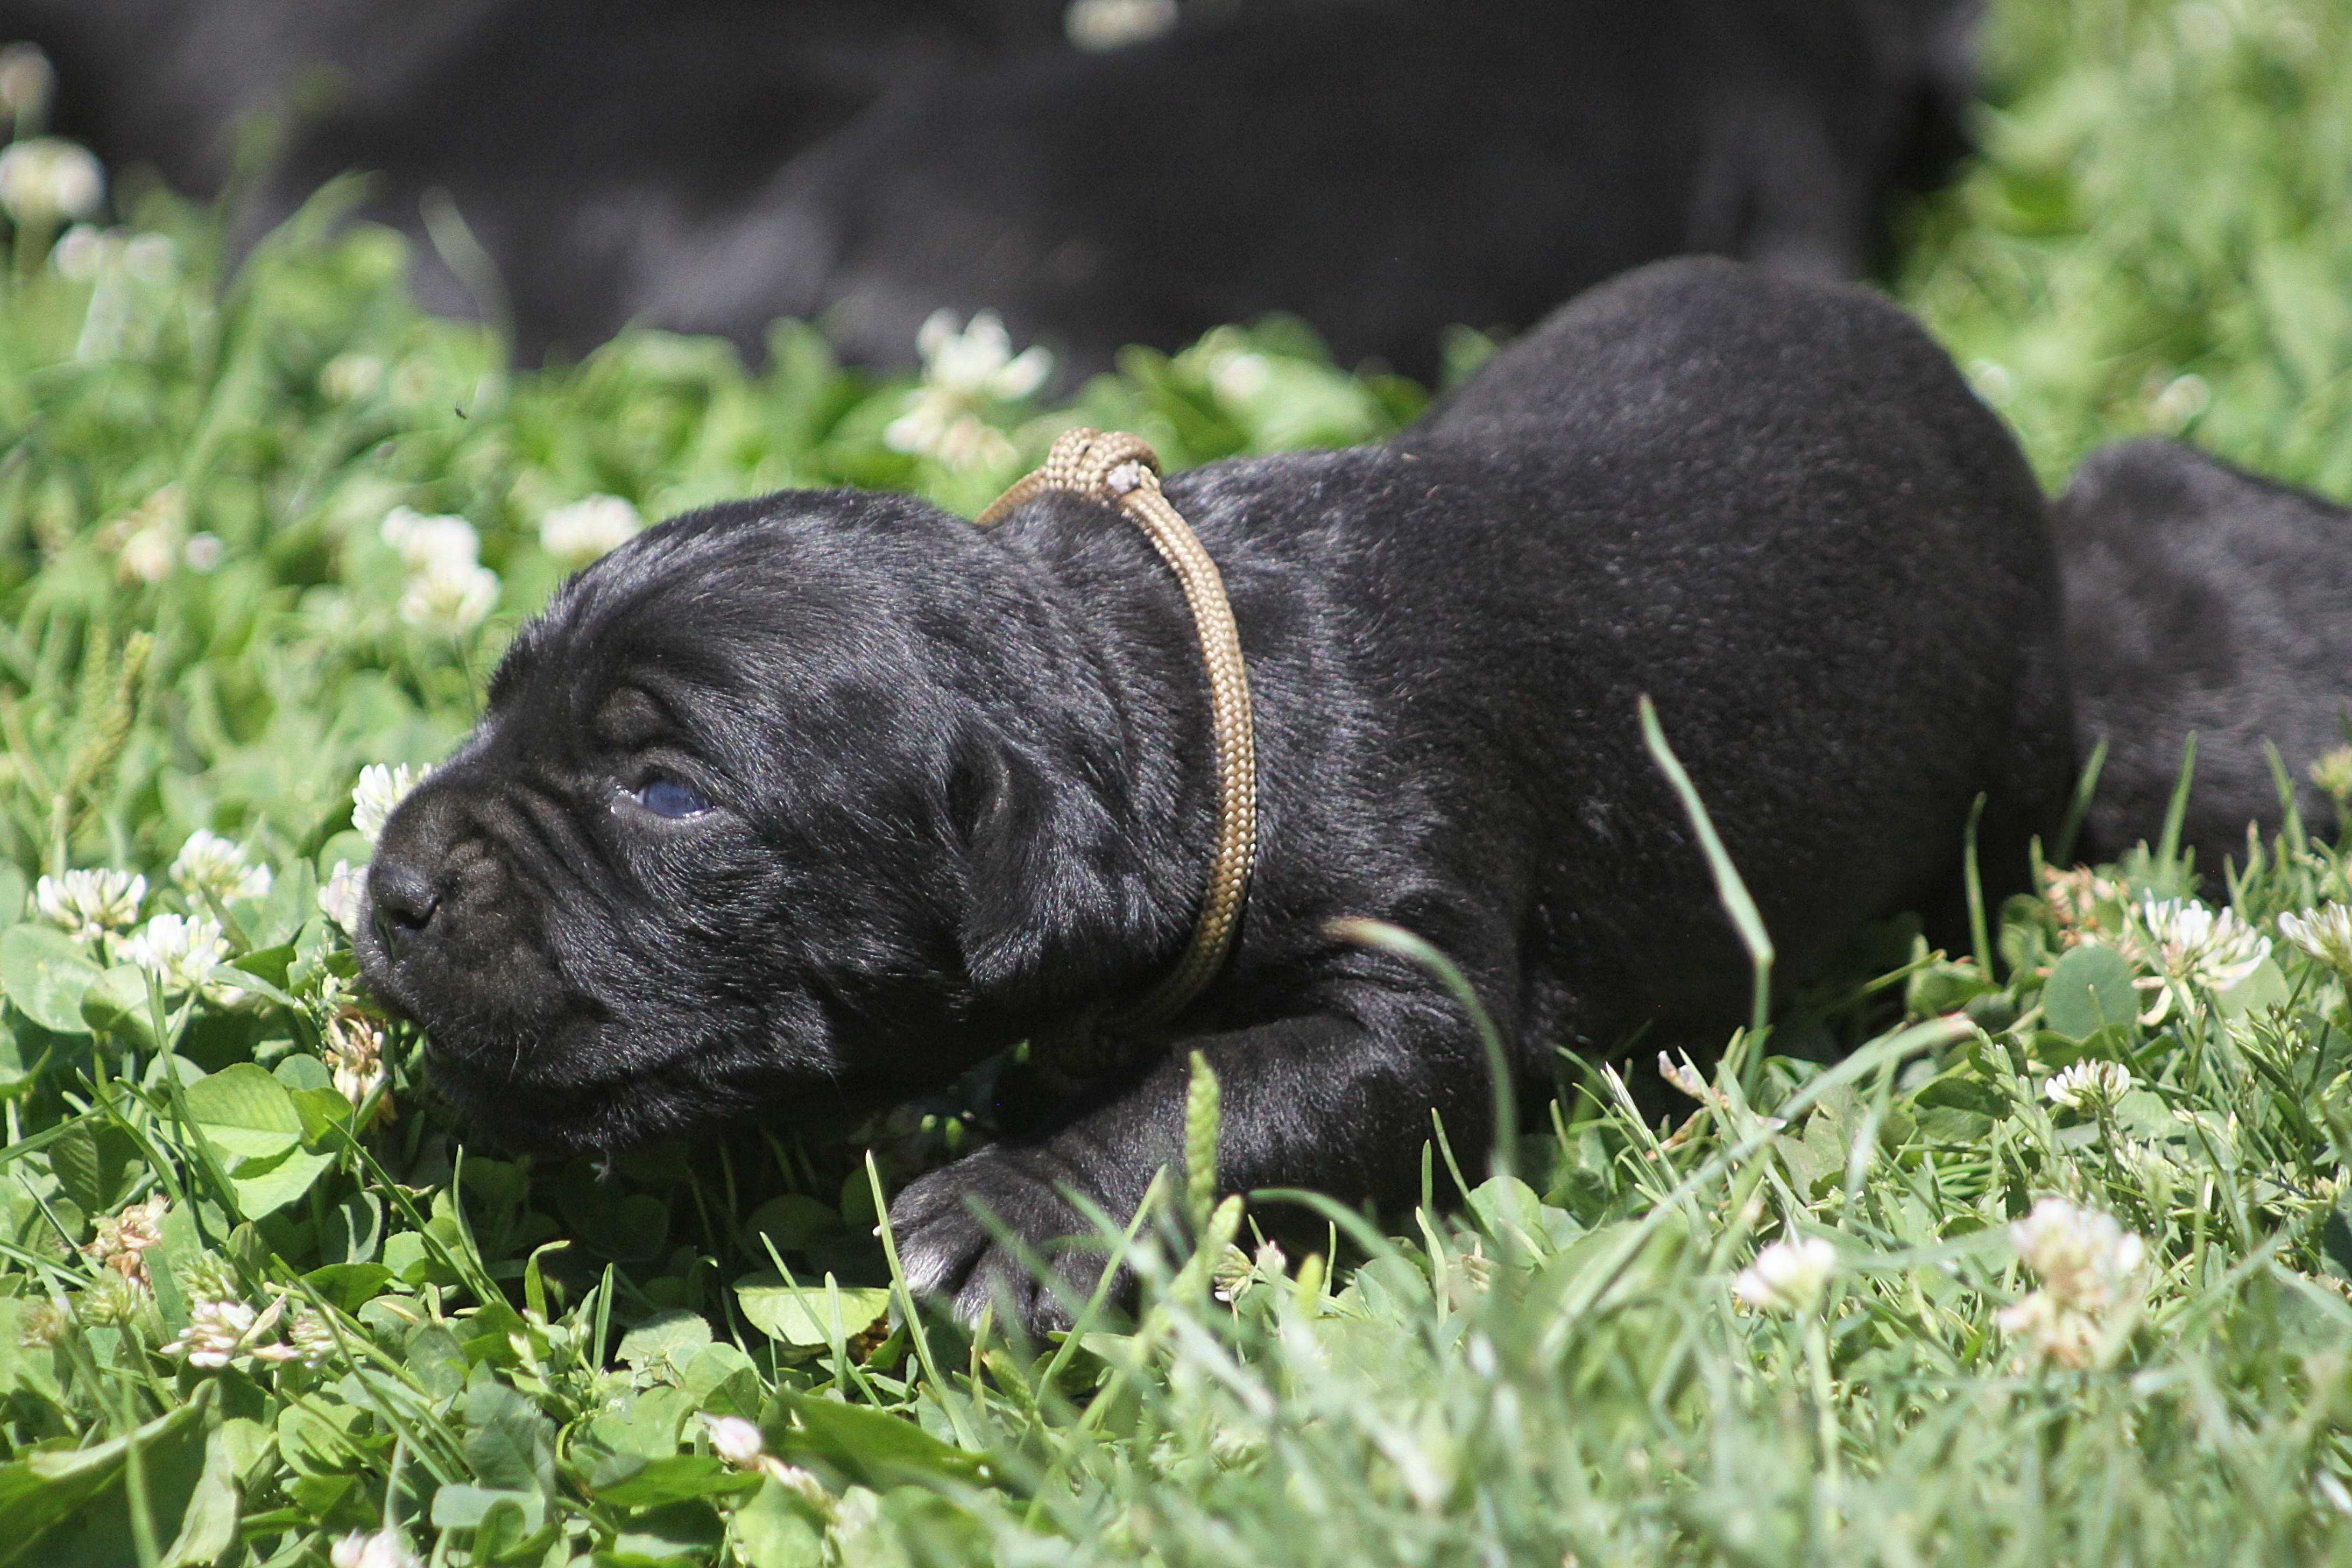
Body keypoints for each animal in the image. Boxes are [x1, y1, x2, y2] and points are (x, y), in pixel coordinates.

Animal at [357, 260, 2070, 1335]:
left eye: (666, 794)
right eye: (498, 702)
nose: (391, 889)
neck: (1151, 680)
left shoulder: (1412, 982)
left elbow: (1218, 1090)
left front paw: (1014, 1210)